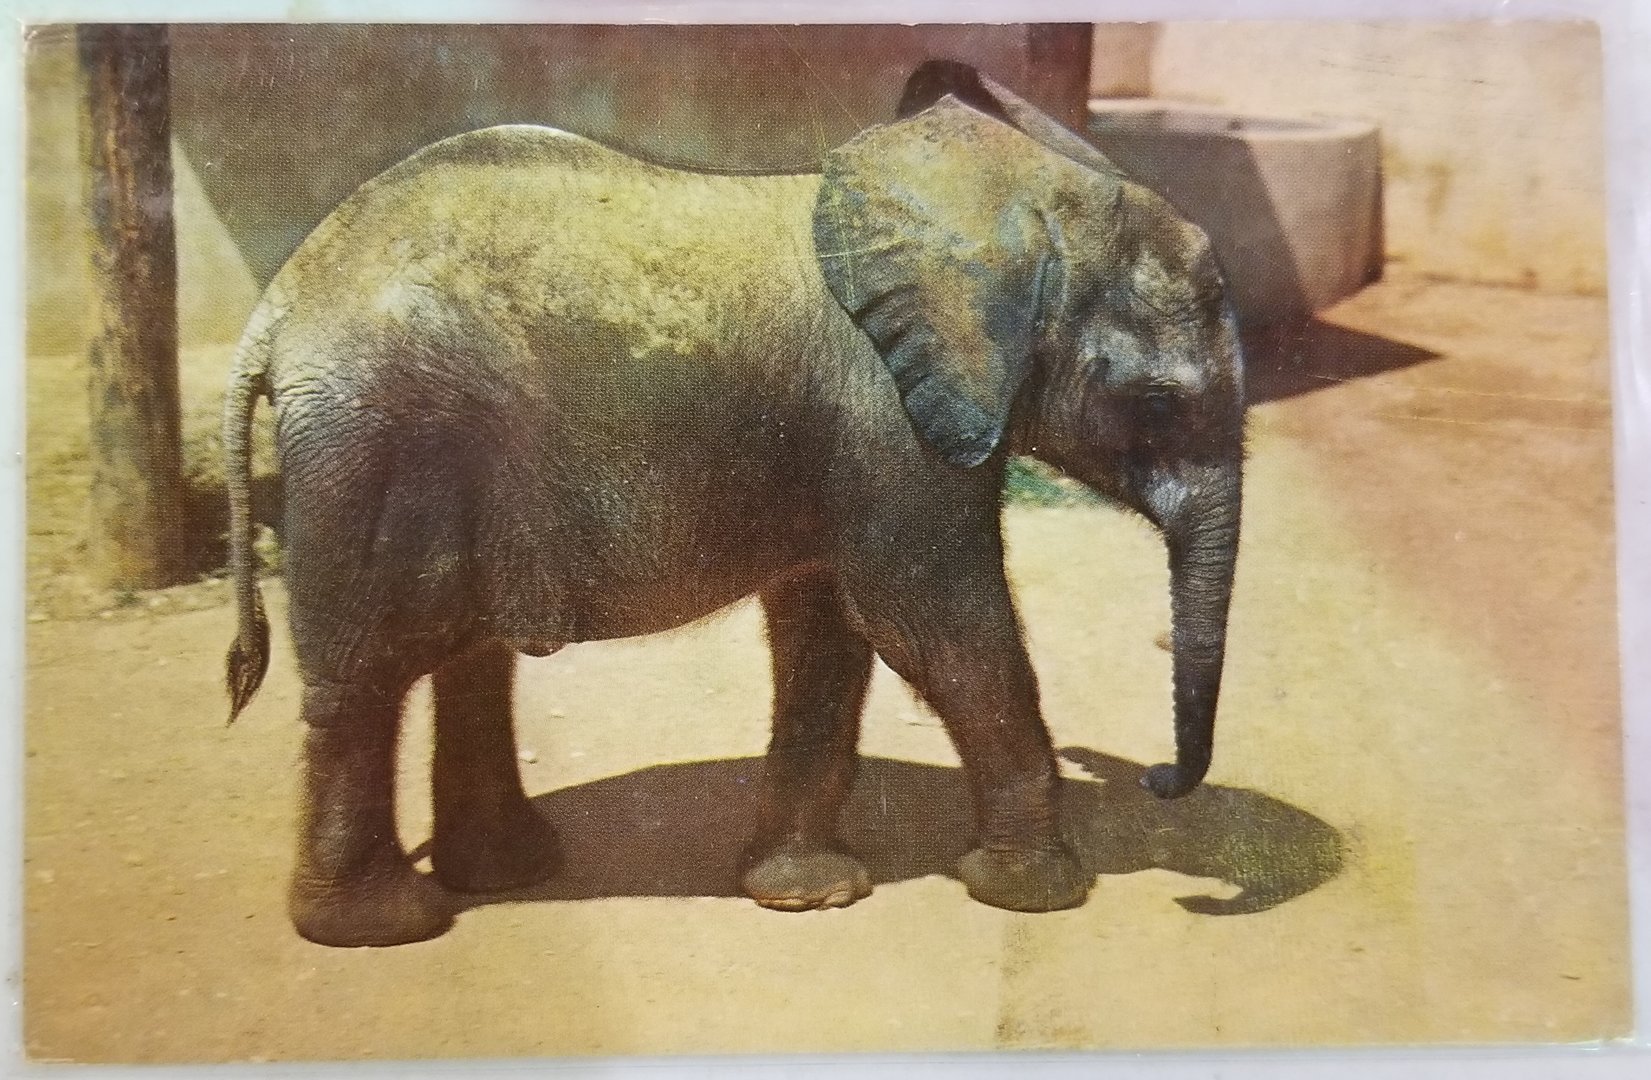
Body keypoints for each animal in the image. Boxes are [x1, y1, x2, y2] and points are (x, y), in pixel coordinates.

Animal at [222, 60, 1245, 948]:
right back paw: (382, 928)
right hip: (378, 444)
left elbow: (830, 632)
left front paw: (807, 895)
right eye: (1160, 404)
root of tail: (280, 305)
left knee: (464, 659)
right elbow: (934, 625)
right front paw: (1037, 895)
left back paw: (503, 874)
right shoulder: (889, 424)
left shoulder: (851, 437)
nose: (1158, 780)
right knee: (365, 674)